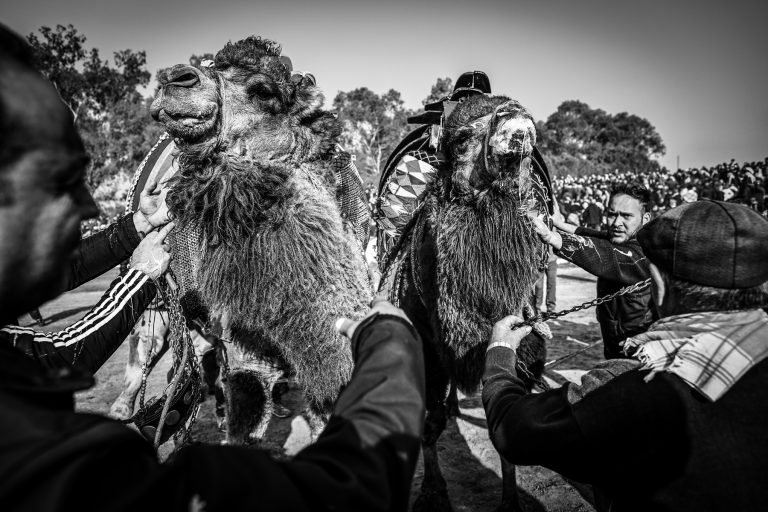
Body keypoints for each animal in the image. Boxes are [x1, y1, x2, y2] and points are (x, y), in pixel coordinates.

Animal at [380, 94, 550, 511]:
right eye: (460, 139)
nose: (515, 117)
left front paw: (511, 501)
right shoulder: (428, 348)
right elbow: (430, 422)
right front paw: (433, 492)